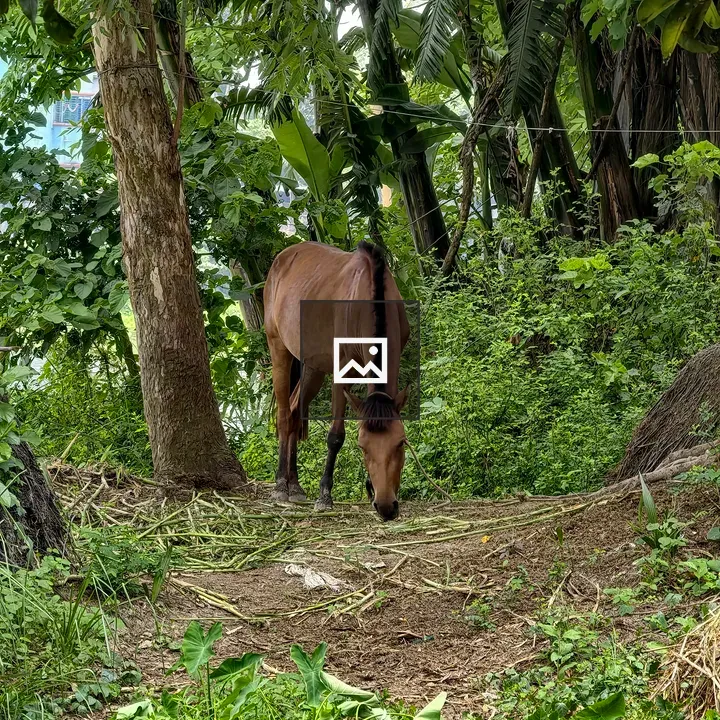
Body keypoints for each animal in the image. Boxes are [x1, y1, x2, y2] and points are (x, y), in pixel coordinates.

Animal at [263, 240, 410, 521]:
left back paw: (295, 485)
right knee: (285, 415)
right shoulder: (341, 371)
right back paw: (280, 485)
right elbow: (335, 436)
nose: (386, 506)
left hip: (313, 367)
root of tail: (282, 257)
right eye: (363, 447)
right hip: (278, 348)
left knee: (296, 411)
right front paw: (325, 496)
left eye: (400, 443)